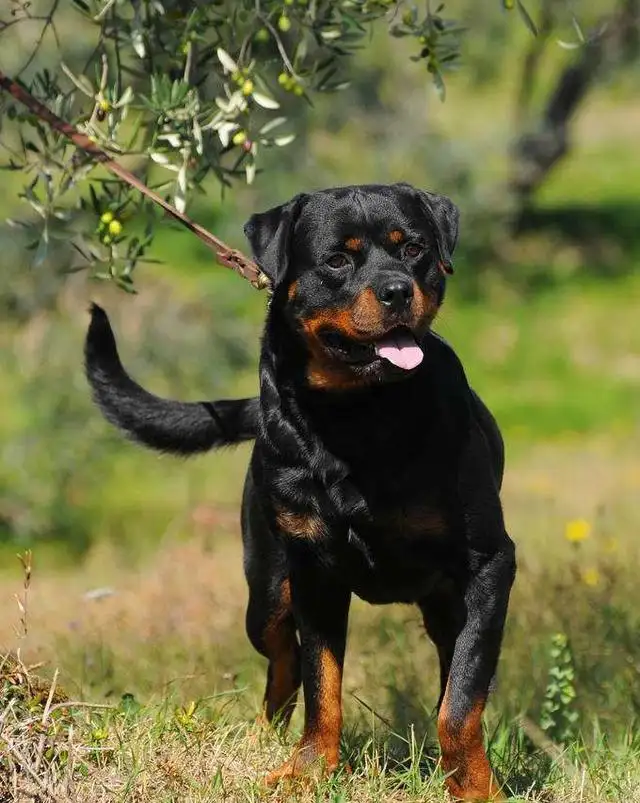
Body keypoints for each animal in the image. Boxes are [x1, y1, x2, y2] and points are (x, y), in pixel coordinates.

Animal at [85, 185, 516, 800]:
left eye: (413, 250)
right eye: (336, 260)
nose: (396, 289)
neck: (359, 416)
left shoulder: (488, 565)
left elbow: (460, 701)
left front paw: (474, 786)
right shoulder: (314, 572)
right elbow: (321, 685)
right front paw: (308, 772)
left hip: (442, 600)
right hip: (267, 591)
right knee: (282, 663)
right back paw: (264, 740)